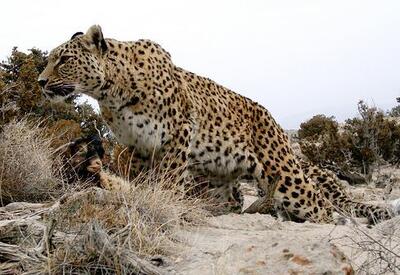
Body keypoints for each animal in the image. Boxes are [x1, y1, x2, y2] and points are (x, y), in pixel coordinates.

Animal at [38, 25, 394, 224]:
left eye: (64, 60)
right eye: (50, 59)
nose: (41, 81)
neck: (112, 91)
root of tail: (274, 120)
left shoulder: (178, 133)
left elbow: (168, 179)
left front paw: (161, 203)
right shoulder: (135, 146)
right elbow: (137, 178)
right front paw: (139, 199)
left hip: (283, 173)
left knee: (321, 204)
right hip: (220, 180)